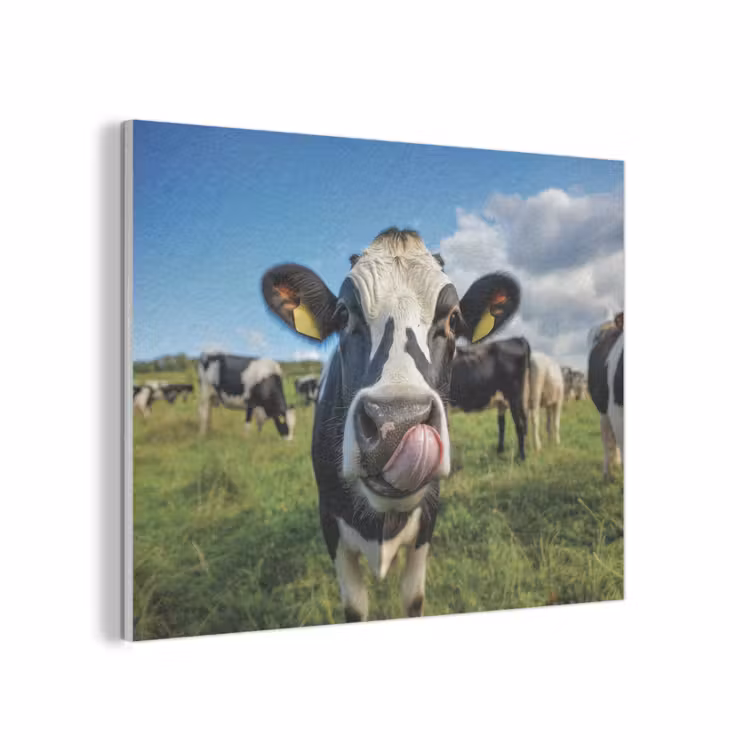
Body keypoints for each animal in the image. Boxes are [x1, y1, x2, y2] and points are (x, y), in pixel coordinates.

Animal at [261, 227, 520, 622]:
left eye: (453, 319)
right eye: (343, 315)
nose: (396, 424)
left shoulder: (428, 518)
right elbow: (354, 608)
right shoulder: (330, 523)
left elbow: (413, 599)